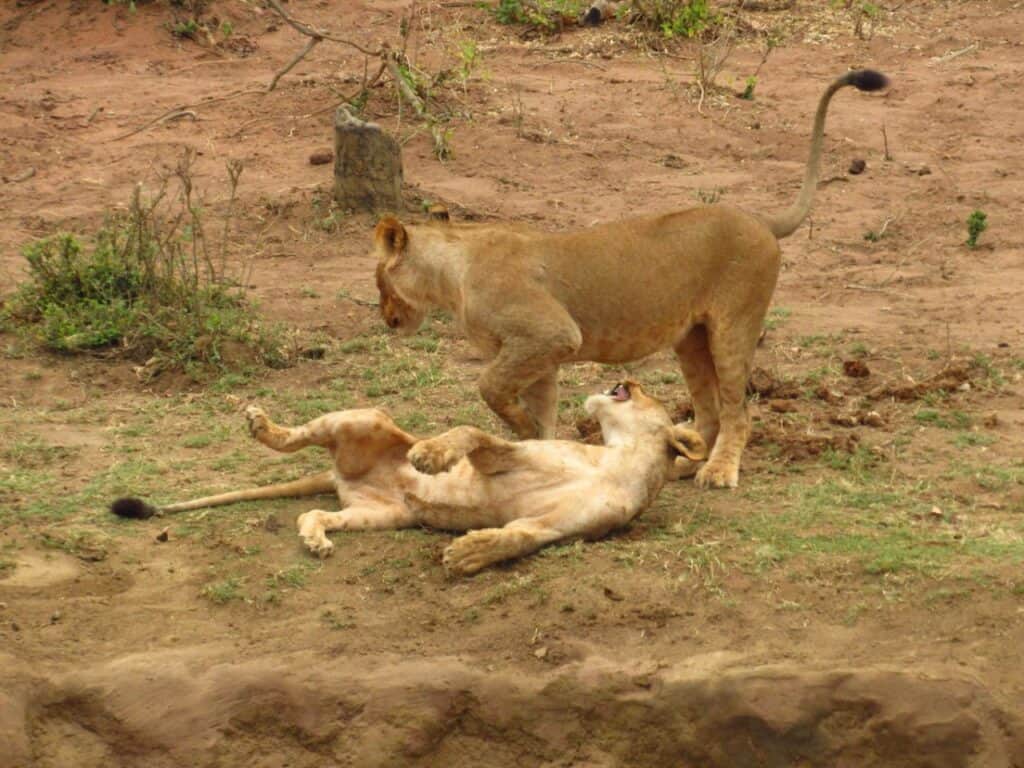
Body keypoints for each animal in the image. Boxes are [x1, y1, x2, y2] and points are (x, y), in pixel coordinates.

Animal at [110, 381, 705, 575]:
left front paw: (468, 553)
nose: (626, 379)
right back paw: (262, 425)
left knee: (314, 510)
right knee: (297, 437)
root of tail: (338, 474)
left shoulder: (563, 527)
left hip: (378, 515)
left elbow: (516, 538)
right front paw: (431, 456)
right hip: (363, 418)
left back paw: (315, 538)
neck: (618, 458)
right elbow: (470, 432)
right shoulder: (512, 452)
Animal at [373, 69, 889, 489]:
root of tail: (759, 219)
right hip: (691, 339)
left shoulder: (550, 335)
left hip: (734, 327)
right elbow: (539, 410)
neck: (450, 273)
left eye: (378, 282)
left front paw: (518, 432)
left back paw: (719, 471)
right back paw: (685, 463)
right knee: (708, 410)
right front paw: (533, 447)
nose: (387, 321)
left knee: (737, 410)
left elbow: (490, 386)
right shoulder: (543, 353)